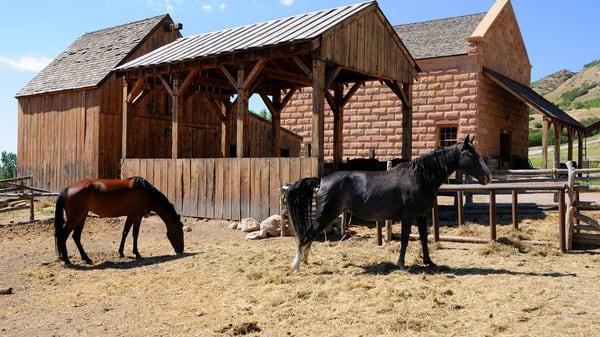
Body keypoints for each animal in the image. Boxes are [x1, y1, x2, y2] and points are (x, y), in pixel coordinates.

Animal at [55, 175, 184, 264]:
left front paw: (121, 252)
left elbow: (125, 232)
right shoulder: (137, 216)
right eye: (179, 231)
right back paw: (67, 260)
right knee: (64, 235)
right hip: (75, 217)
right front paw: (137, 254)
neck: (146, 193)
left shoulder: (130, 216)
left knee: (76, 236)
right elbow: (135, 234)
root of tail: (67, 189)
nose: (181, 250)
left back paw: (86, 258)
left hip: (82, 216)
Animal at [288, 135, 492, 270]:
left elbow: (424, 239)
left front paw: (429, 262)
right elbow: (405, 239)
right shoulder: (408, 215)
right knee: (307, 234)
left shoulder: (422, 215)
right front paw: (401, 265)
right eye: (471, 154)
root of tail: (322, 180)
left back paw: (305, 261)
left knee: (310, 235)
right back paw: (296, 265)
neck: (418, 177)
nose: (488, 176)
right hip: (326, 214)